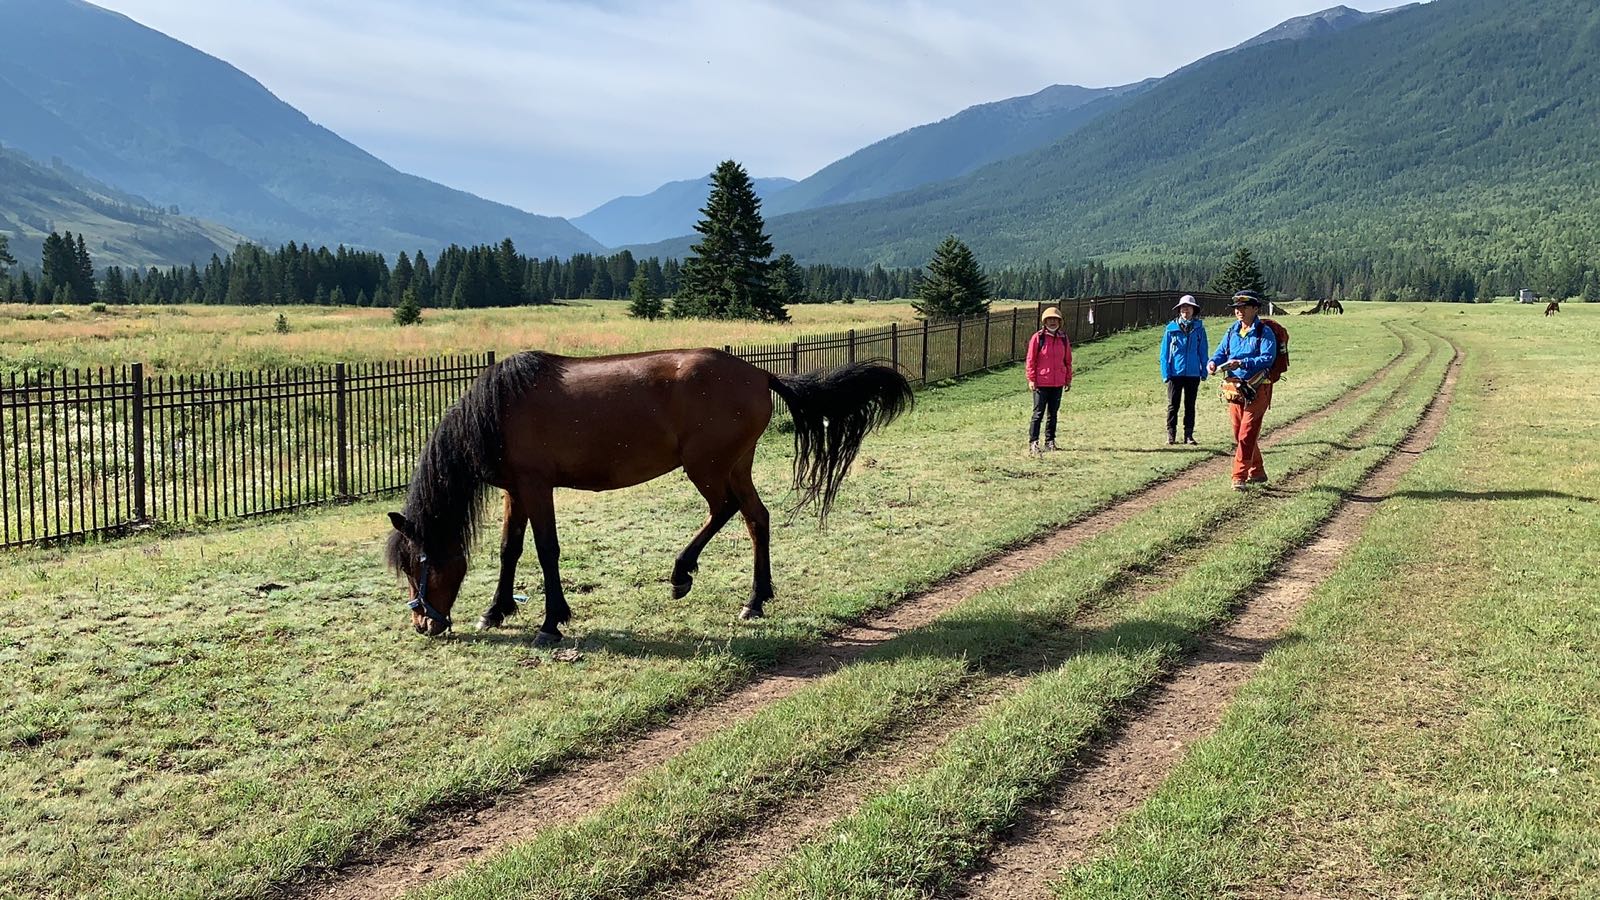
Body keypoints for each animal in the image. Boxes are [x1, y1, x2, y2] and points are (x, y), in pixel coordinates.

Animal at [384, 349, 915, 637]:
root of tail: (759, 373)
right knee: (753, 518)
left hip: (708, 467)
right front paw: (496, 610)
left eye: (416, 564)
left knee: (728, 510)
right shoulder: (517, 490)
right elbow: (509, 549)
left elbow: (546, 549)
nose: (424, 624)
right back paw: (750, 596)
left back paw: (694, 577)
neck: (498, 409)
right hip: (735, 466)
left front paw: (552, 621)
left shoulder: (537, 487)